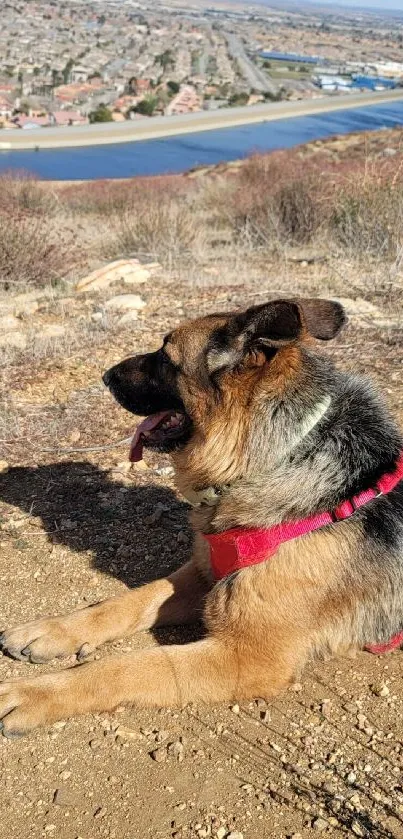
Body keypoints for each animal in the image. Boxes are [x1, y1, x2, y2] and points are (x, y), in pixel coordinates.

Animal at [0, 300, 403, 736]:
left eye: (166, 359)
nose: (105, 376)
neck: (274, 457)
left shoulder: (245, 657)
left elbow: (129, 666)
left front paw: (36, 692)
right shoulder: (201, 574)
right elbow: (127, 601)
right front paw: (51, 630)